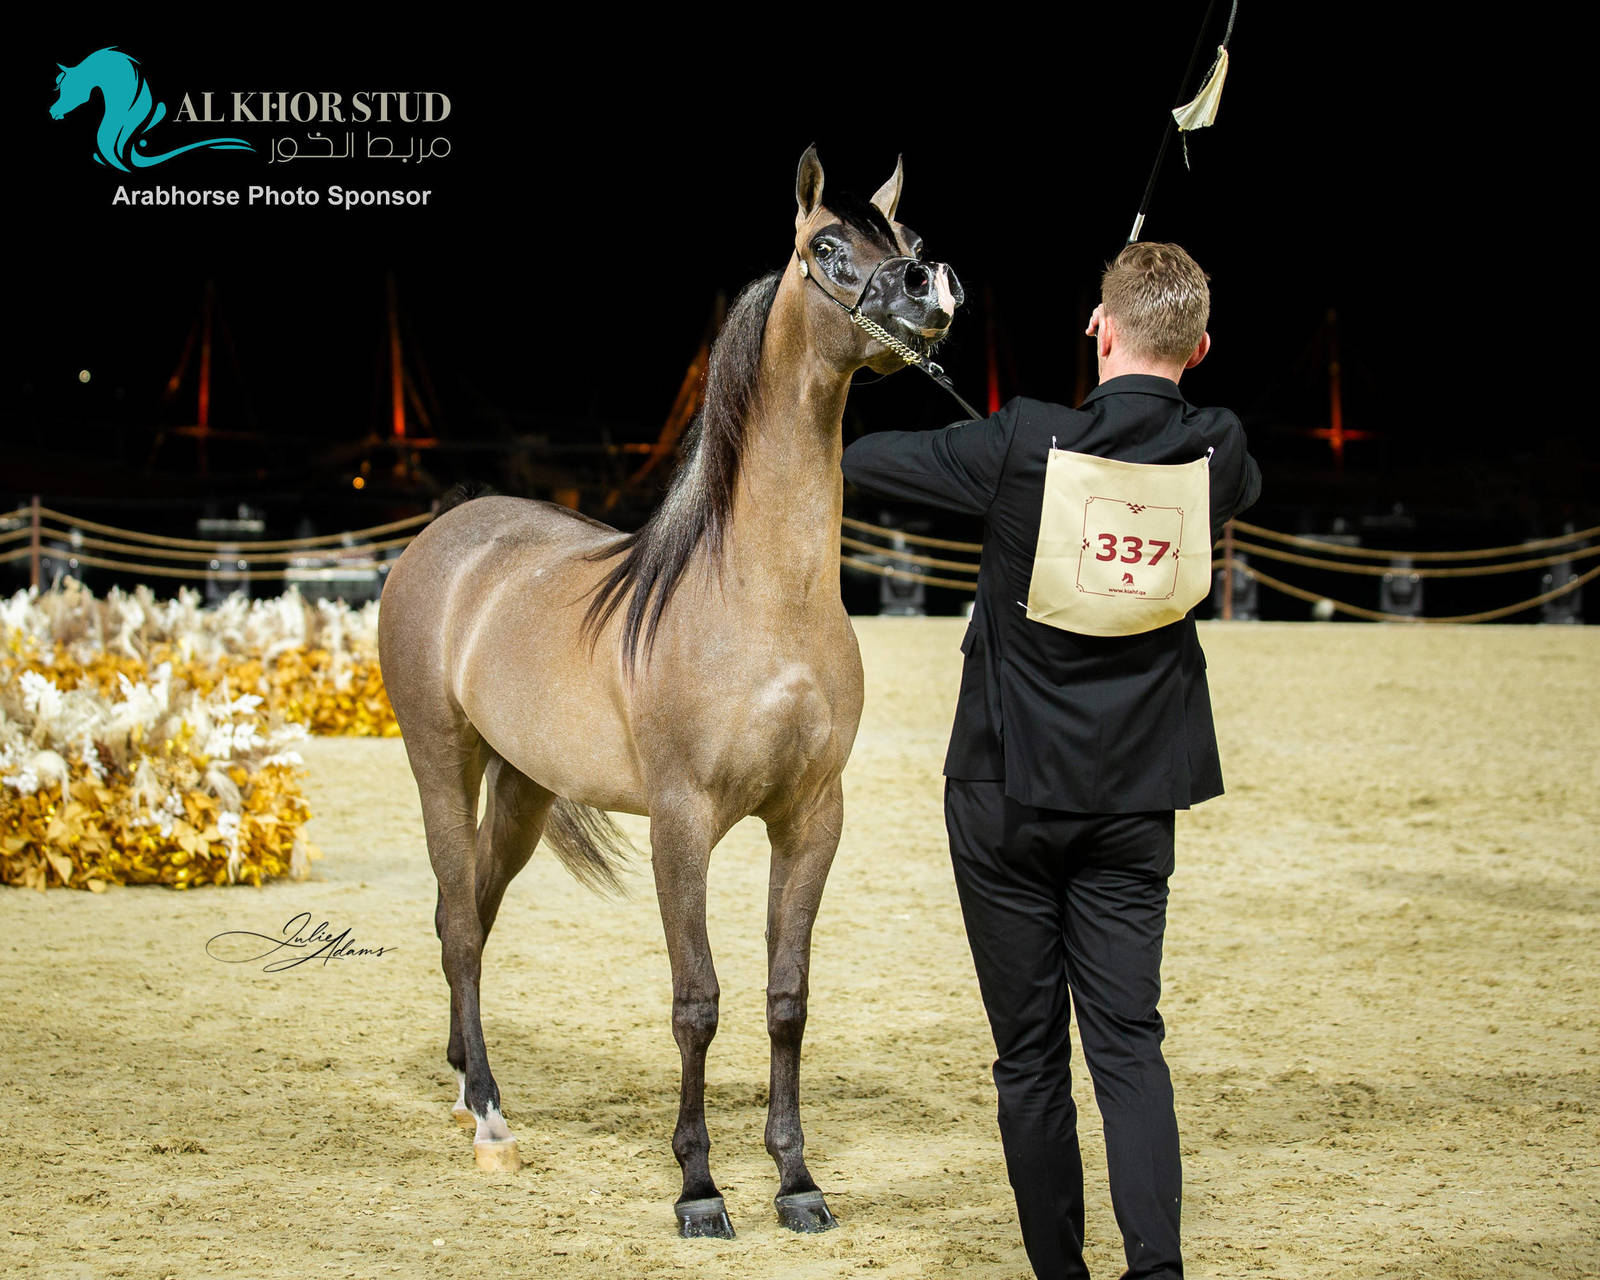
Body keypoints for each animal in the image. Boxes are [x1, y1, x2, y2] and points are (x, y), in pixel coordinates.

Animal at [378, 145, 964, 1239]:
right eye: (830, 247)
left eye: (904, 239)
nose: (930, 289)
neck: (759, 596)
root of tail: (448, 530)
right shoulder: (681, 822)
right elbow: (698, 999)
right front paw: (699, 1188)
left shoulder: (812, 817)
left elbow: (786, 997)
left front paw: (796, 1179)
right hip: (441, 762)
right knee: (461, 922)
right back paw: (489, 1113)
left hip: (522, 789)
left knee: (467, 909)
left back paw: (465, 1076)